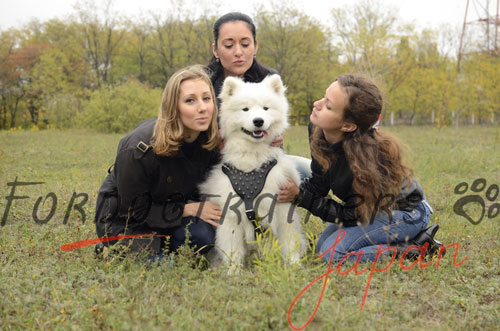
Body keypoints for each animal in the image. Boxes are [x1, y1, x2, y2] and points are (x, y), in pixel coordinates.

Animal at [199, 75, 304, 272]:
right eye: (245, 109)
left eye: (265, 108)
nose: (258, 121)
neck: (253, 163)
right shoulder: (231, 217)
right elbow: (233, 251)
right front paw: (234, 273)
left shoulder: (281, 209)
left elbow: (288, 243)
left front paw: (294, 266)